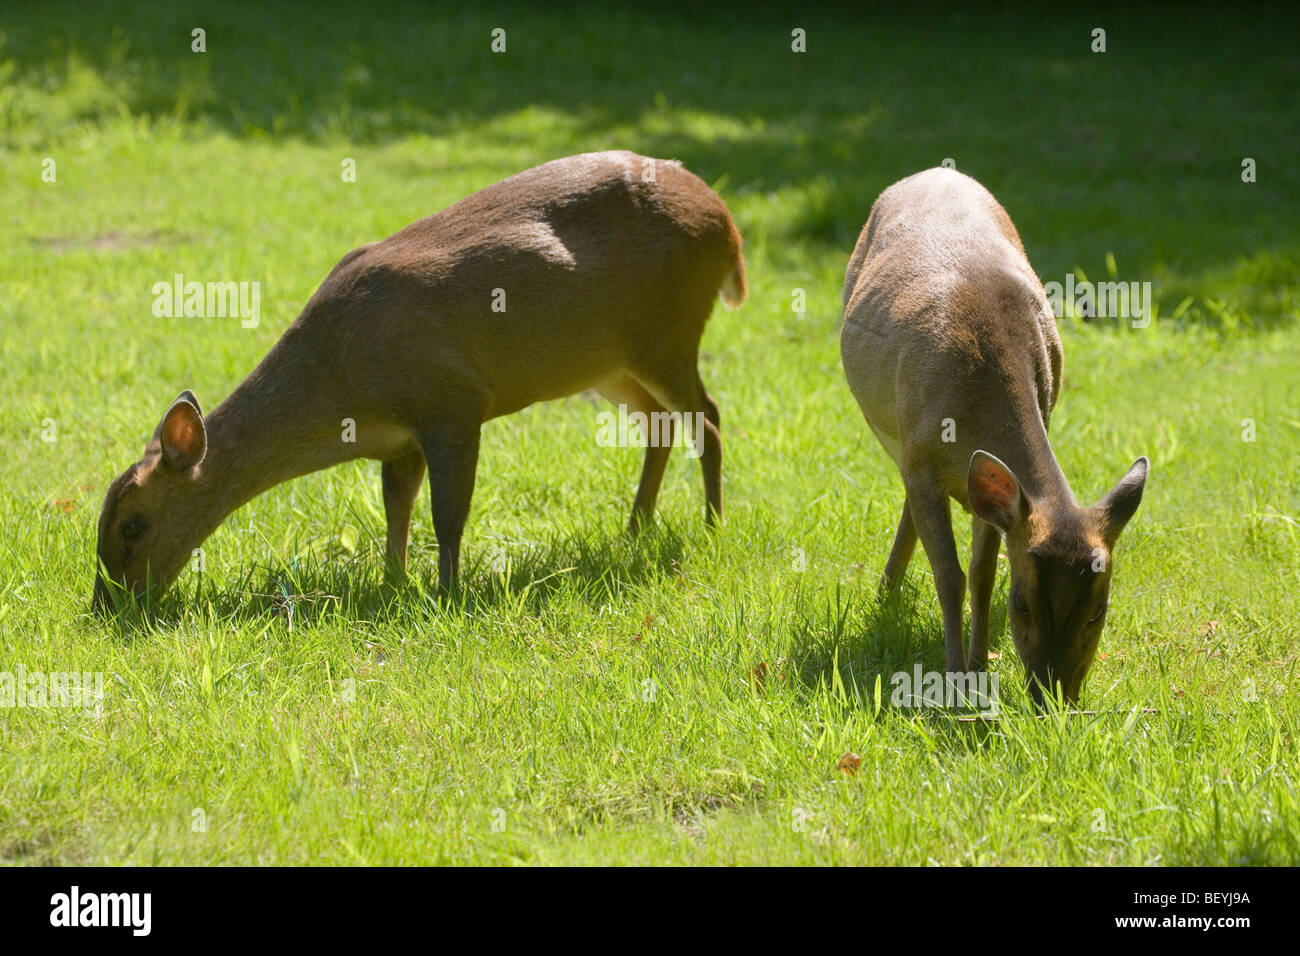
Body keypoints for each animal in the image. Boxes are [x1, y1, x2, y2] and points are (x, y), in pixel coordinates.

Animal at [96, 149, 748, 613]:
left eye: (132, 525)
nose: (107, 604)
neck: (343, 380)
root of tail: (728, 226)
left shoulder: (453, 401)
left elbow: (447, 512)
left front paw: (446, 593)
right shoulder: (398, 438)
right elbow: (397, 508)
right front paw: (392, 581)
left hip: (667, 331)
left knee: (709, 414)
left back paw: (712, 523)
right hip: (611, 362)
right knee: (661, 422)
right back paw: (635, 527)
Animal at [837, 166, 1144, 702]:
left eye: (1098, 610)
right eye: (1021, 603)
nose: (1051, 695)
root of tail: (935, 170)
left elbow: (982, 573)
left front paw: (979, 666)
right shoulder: (923, 458)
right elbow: (950, 574)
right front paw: (954, 677)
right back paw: (886, 592)